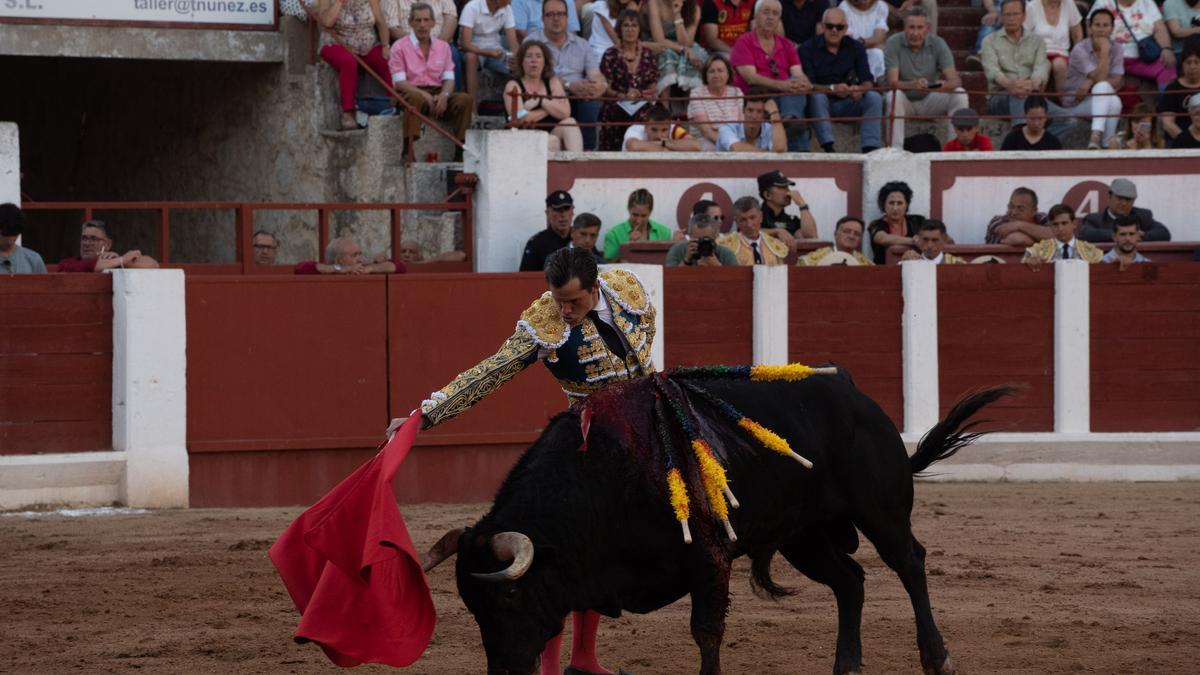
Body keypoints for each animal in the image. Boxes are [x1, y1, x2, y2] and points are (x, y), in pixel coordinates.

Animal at [422, 369, 1012, 667]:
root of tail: (858, 399)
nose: (504, 673)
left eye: (509, 598)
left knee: (909, 563)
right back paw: (846, 665)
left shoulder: (709, 560)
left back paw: (936, 657)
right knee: (851, 581)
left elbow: (706, 632)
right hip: (803, 535)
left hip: (880, 510)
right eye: (473, 608)